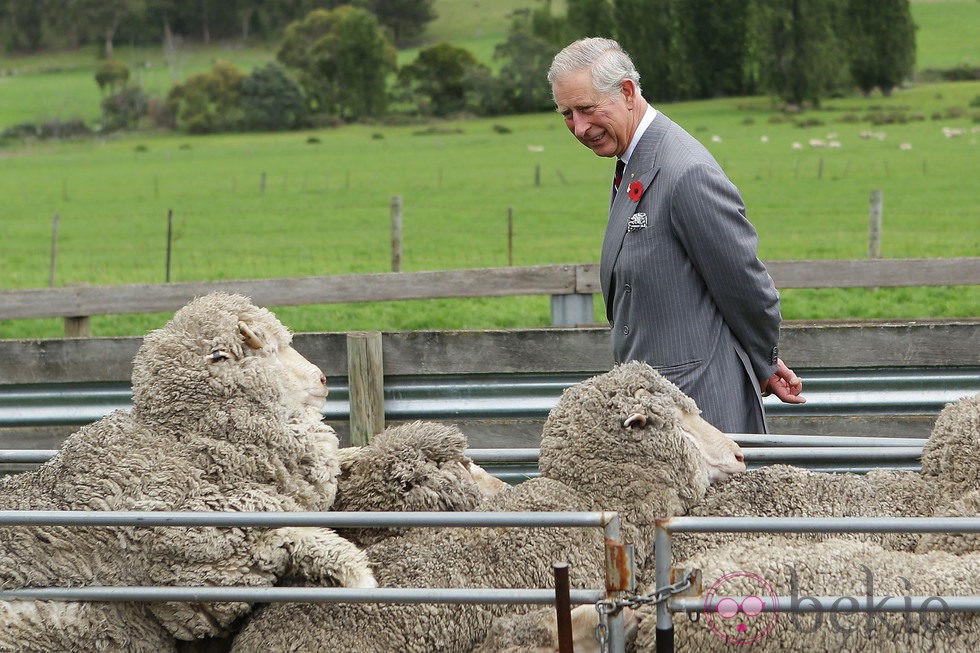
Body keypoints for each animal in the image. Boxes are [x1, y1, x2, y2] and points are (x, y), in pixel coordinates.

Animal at [0, 296, 374, 652]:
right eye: (270, 350)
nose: (323, 379)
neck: (186, 440)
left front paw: (361, 453)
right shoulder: (202, 565)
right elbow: (294, 534)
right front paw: (358, 574)